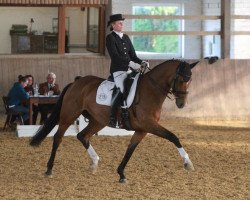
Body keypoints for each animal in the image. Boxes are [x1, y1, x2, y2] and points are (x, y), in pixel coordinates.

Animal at [30, 58, 199, 183]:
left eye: (190, 80)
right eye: (181, 78)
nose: (182, 104)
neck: (151, 90)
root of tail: (76, 82)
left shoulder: (142, 129)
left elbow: (131, 149)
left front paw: (121, 174)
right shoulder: (149, 125)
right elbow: (173, 137)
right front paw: (188, 163)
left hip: (98, 121)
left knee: (82, 136)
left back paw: (94, 162)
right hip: (69, 115)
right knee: (58, 137)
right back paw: (49, 169)